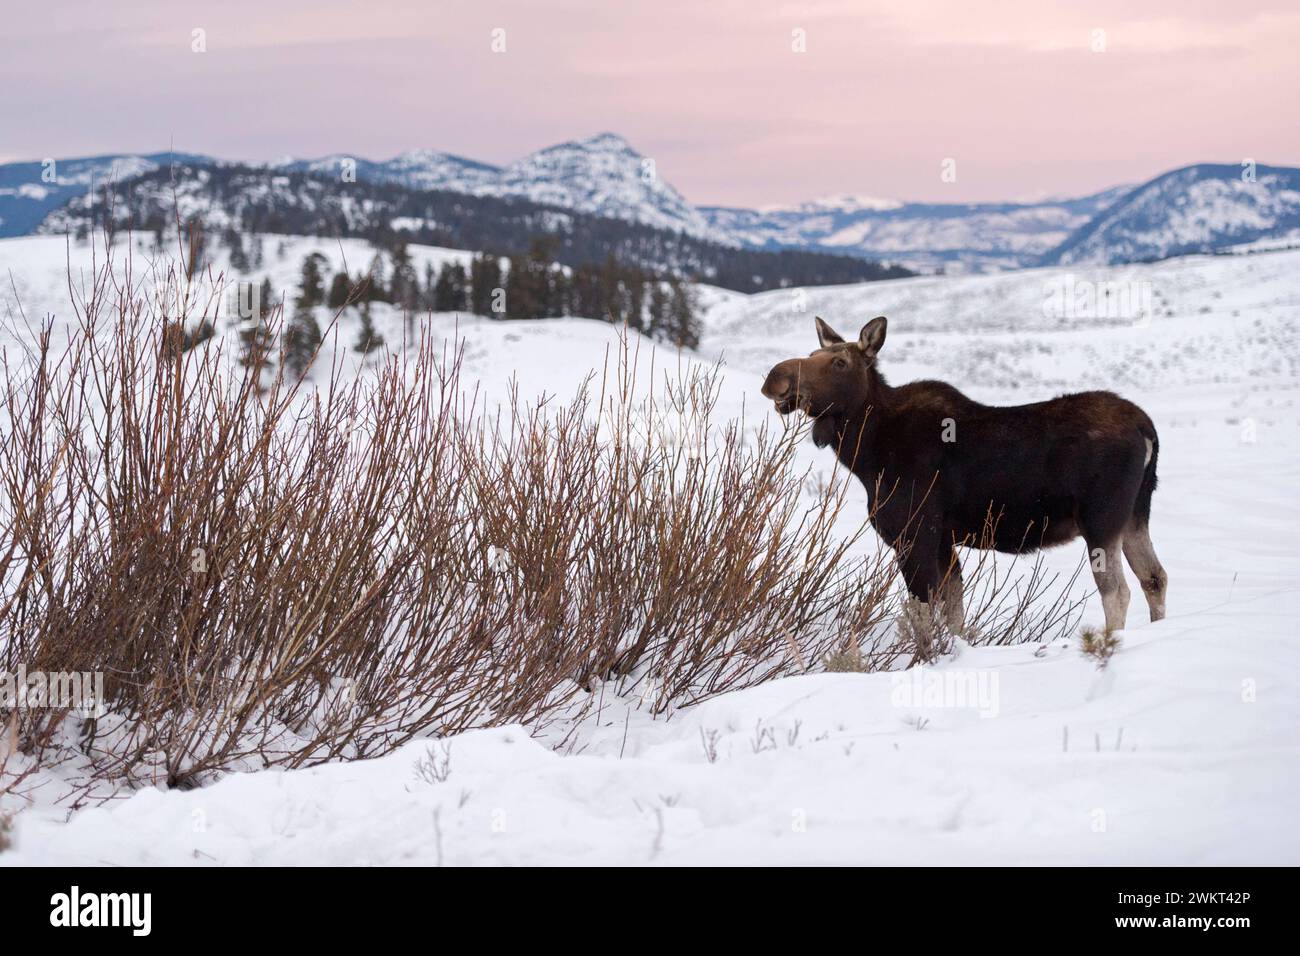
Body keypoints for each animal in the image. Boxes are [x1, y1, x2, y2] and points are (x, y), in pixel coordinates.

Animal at [759, 317, 1170, 639]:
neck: (867, 455)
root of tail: (1147, 428)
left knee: (1117, 591)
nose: (775, 378)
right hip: (1136, 514)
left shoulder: (916, 535)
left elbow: (924, 615)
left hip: (1101, 520)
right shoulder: (944, 541)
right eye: (812, 355)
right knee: (1154, 577)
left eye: (840, 362)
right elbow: (954, 613)